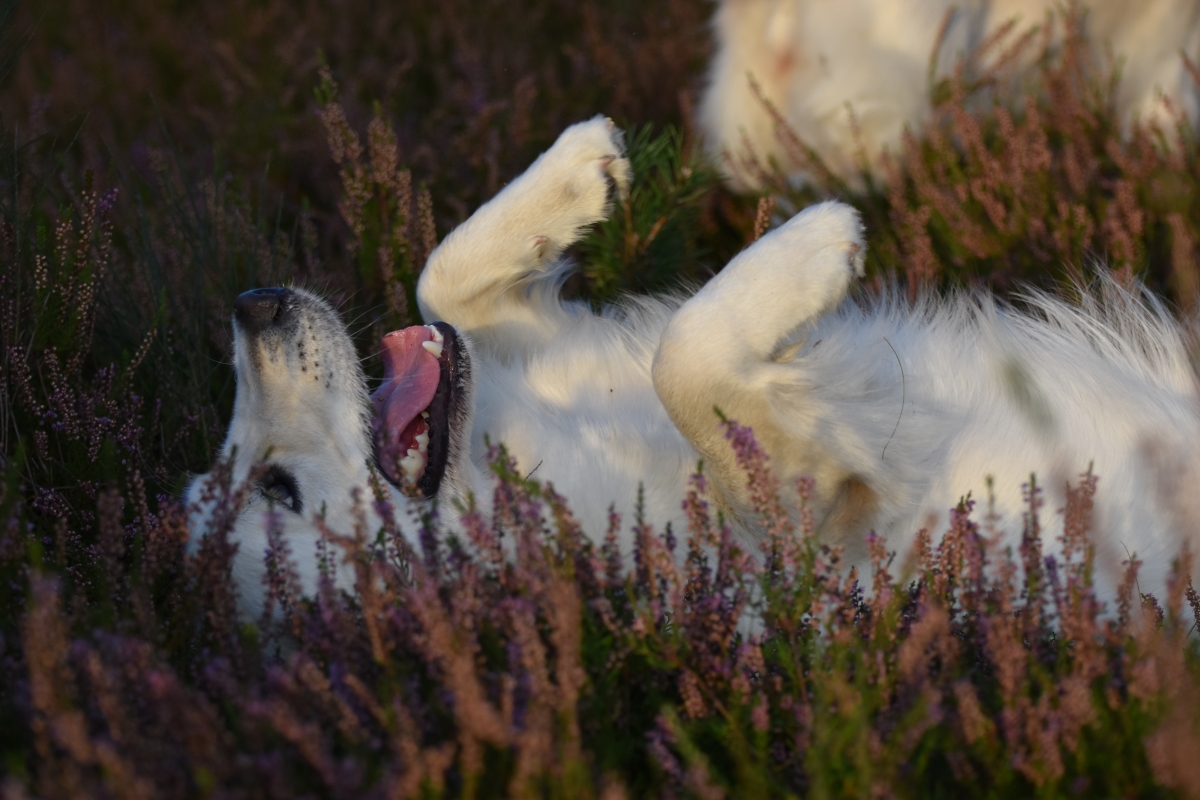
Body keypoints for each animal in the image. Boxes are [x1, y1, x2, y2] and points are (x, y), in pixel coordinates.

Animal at [187, 116, 1200, 618]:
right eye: (278, 489)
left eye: (247, 475)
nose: (254, 304)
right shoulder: (821, 529)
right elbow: (687, 357)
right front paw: (818, 243)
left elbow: (443, 273)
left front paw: (575, 174)